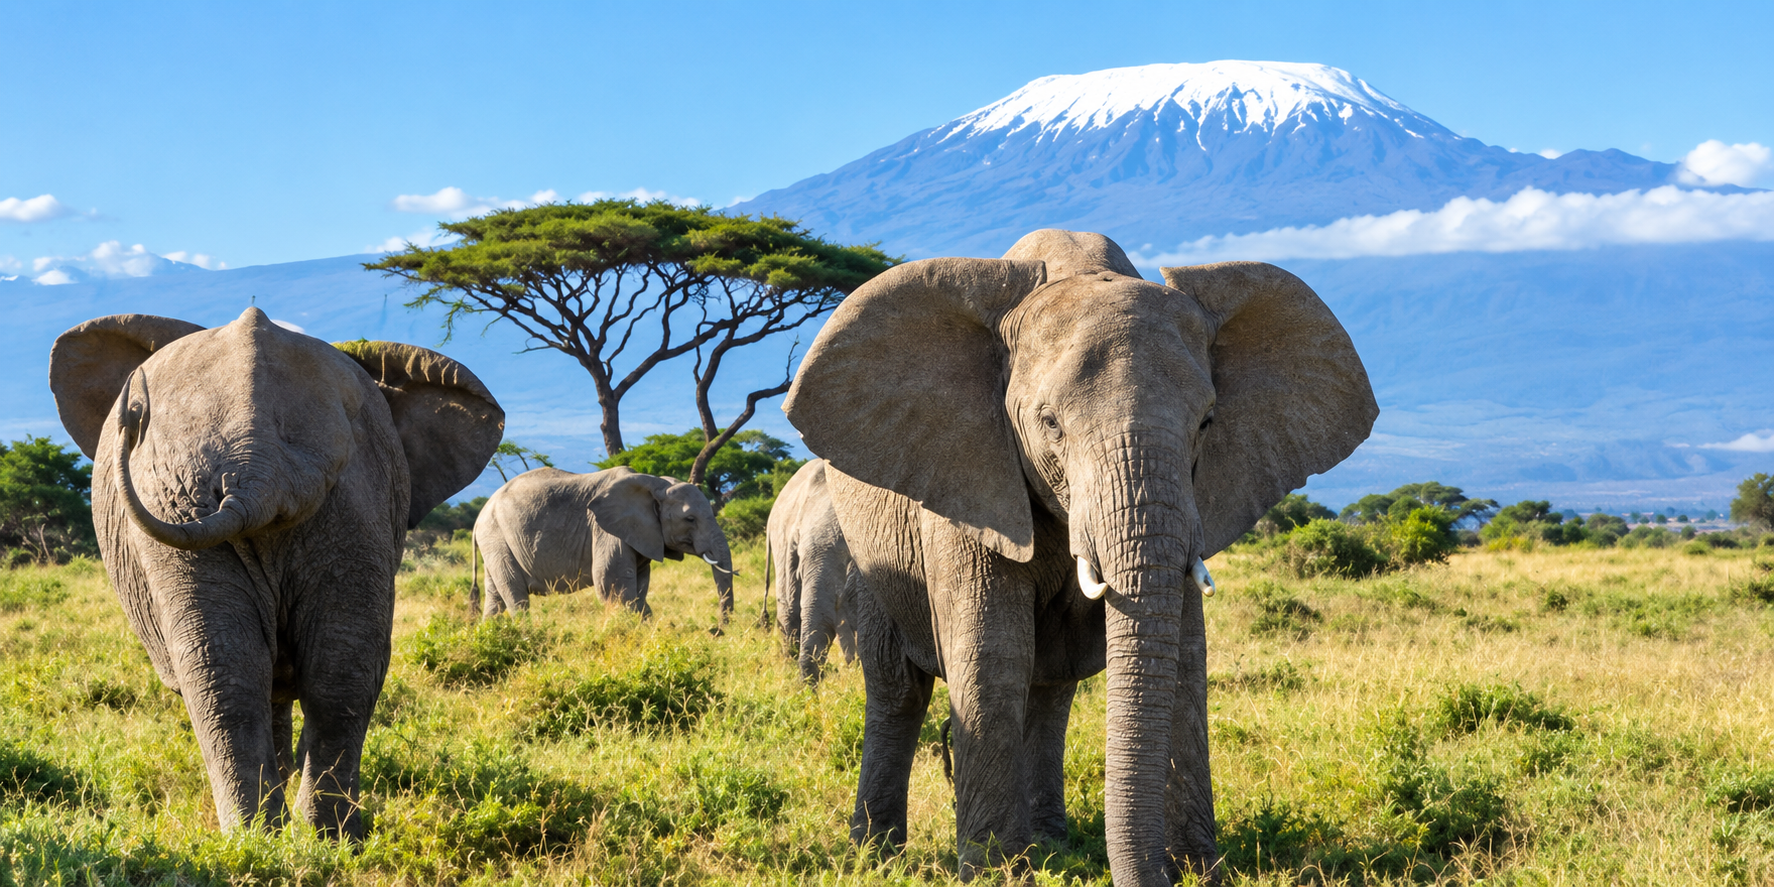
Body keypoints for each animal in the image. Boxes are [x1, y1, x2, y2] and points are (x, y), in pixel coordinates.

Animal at [48, 308, 504, 839]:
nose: (132, 412)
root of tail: (259, 467)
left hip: (262, 499)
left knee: (269, 673)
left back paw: (284, 838)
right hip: (264, 498)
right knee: (300, 672)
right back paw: (308, 838)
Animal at [471, 466, 735, 626]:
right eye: (690, 519)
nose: (717, 630)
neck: (656, 483)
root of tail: (479, 516)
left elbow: (639, 588)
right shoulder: (607, 532)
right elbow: (612, 585)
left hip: (494, 542)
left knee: (495, 597)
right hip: (496, 536)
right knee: (516, 596)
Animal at [782, 229, 1377, 883]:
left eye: (1207, 422)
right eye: (1050, 424)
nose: (1160, 874)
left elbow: (1183, 657)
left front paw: (1199, 871)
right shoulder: (966, 477)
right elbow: (991, 652)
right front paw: (994, 873)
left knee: (1048, 689)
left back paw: (1049, 846)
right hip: (867, 547)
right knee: (899, 689)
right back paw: (879, 854)